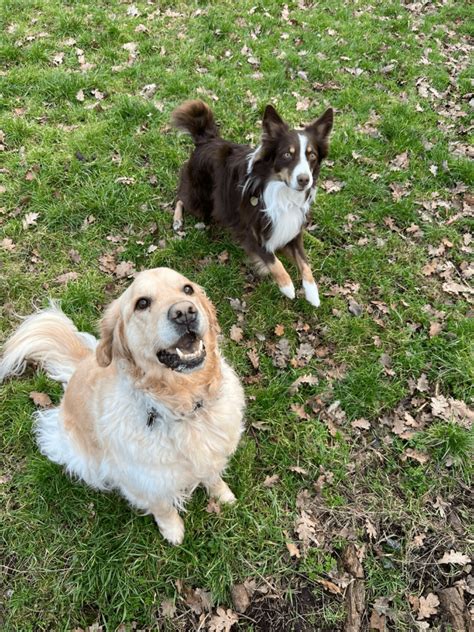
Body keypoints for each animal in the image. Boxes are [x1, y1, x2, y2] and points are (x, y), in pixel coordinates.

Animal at [0, 266, 244, 544]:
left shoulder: (212, 453)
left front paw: (224, 496)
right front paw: (173, 531)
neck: (183, 404)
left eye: (187, 289)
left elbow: (213, 477)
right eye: (142, 303)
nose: (184, 312)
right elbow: (163, 507)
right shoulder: (143, 480)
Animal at [171, 100, 334, 306]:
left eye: (312, 156)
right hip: (199, 200)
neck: (281, 193)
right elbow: (272, 259)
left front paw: (312, 292)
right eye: (287, 155)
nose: (305, 180)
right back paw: (177, 221)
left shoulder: (291, 230)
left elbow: (305, 263)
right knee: (180, 197)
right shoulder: (249, 230)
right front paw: (287, 286)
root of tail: (206, 139)